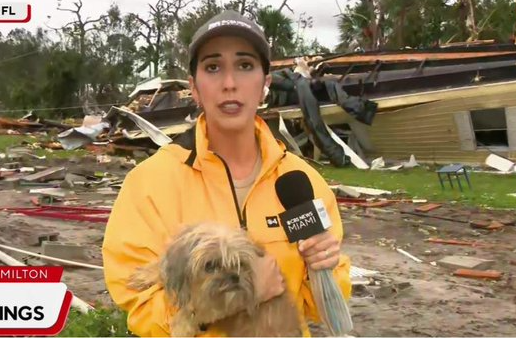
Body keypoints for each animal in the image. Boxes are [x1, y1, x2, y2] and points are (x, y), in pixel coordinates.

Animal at [126, 223, 300, 336]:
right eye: (210, 265)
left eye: (241, 264)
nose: (235, 276)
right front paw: (146, 274)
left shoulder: (217, 306)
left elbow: (192, 311)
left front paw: (181, 326)